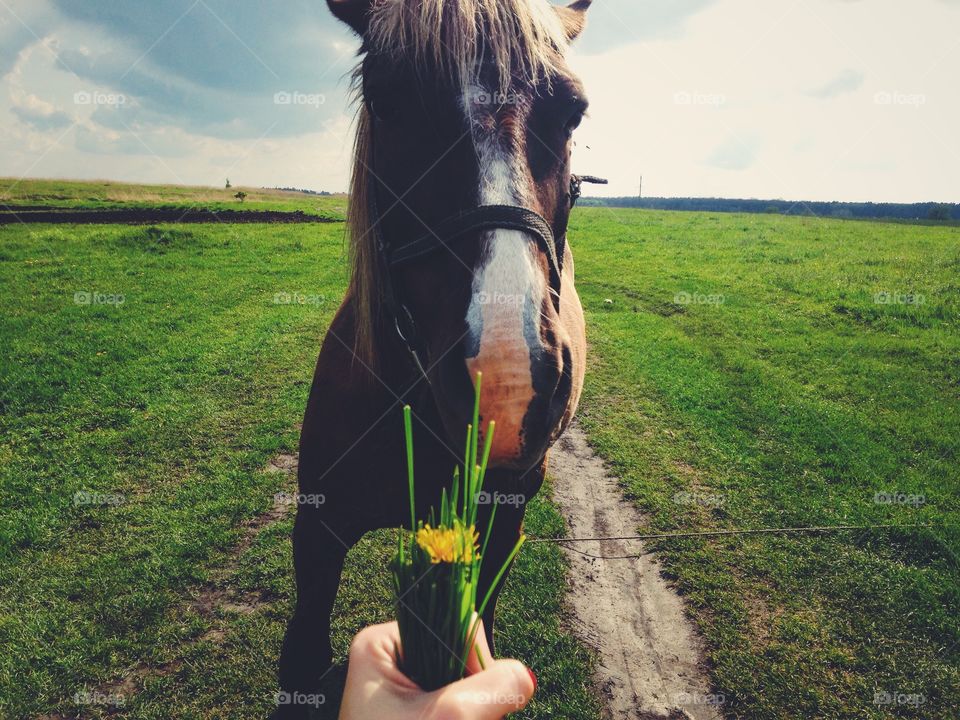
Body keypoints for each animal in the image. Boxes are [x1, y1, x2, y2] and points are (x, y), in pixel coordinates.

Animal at [274, 0, 596, 708]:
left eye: (574, 113)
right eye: (388, 99)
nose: (507, 383)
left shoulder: (496, 528)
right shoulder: (317, 536)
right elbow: (303, 659)